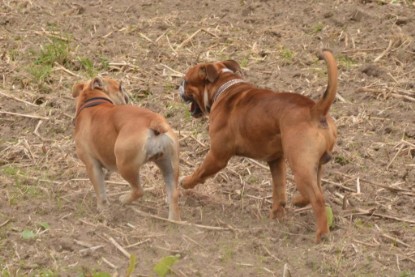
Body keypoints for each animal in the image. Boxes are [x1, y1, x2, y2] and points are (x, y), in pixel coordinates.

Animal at [71, 76, 180, 219]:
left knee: (138, 190)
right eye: (120, 87)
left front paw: (102, 208)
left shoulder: (91, 165)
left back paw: (123, 199)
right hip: (169, 165)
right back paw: (173, 220)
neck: (92, 101)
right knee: (173, 193)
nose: (126, 93)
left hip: (125, 165)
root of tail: (154, 121)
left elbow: (100, 189)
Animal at [179, 50, 338, 242]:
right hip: (313, 166)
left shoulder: (217, 156)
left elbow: (200, 172)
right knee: (316, 189)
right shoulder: (276, 160)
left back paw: (321, 233)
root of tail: (316, 110)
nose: (178, 86)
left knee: (317, 199)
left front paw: (186, 182)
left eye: (186, 81)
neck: (223, 86)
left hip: (300, 166)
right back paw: (299, 200)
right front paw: (276, 215)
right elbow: (279, 189)